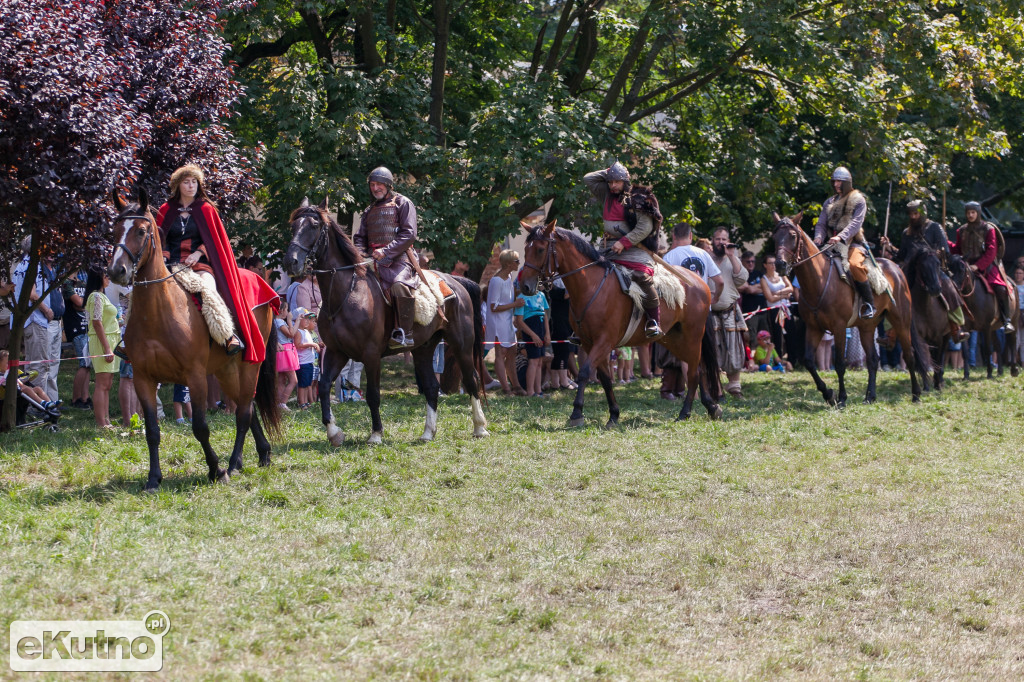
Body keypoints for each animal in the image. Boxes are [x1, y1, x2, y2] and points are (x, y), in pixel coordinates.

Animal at [107, 191, 280, 489]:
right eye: (115, 230)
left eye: (141, 231)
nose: (117, 271)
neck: (158, 311)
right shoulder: (143, 378)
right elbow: (152, 431)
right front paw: (153, 478)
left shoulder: (196, 376)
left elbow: (200, 427)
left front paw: (217, 470)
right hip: (226, 370)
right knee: (246, 406)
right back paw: (260, 454)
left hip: (250, 364)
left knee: (244, 412)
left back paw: (233, 464)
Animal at [280, 195, 487, 446]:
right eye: (293, 227)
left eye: (314, 225)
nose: (291, 262)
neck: (347, 292)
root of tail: (456, 282)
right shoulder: (336, 352)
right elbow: (323, 386)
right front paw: (334, 432)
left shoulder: (370, 355)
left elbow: (373, 395)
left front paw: (376, 434)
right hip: (423, 348)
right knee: (431, 386)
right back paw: (428, 432)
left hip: (461, 344)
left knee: (472, 379)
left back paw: (479, 427)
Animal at [520, 220, 720, 428]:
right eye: (526, 250)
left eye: (540, 249)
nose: (525, 286)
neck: (591, 286)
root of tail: (699, 282)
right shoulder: (590, 343)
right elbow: (605, 378)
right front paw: (614, 414)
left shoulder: (604, 342)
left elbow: (584, 372)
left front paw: (576, 413)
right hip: (673, 339)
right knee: (697, 368)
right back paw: (711, 407)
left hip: (692, 336)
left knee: (695, 372)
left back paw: (685, 412)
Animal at [770, 212, 929, 403]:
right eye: (775, 237)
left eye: (792, 236)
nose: (780, 264)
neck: (820, 280)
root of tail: (896, 269)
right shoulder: (814, 328)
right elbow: (809, 362)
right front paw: (828, 394)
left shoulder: (839, 327)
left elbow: (839, 363)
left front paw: (842, 398)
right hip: (867, 327)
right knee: (873, 359)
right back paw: (870, 396)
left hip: (901, 322)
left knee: (909, 355)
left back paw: (916, 394)